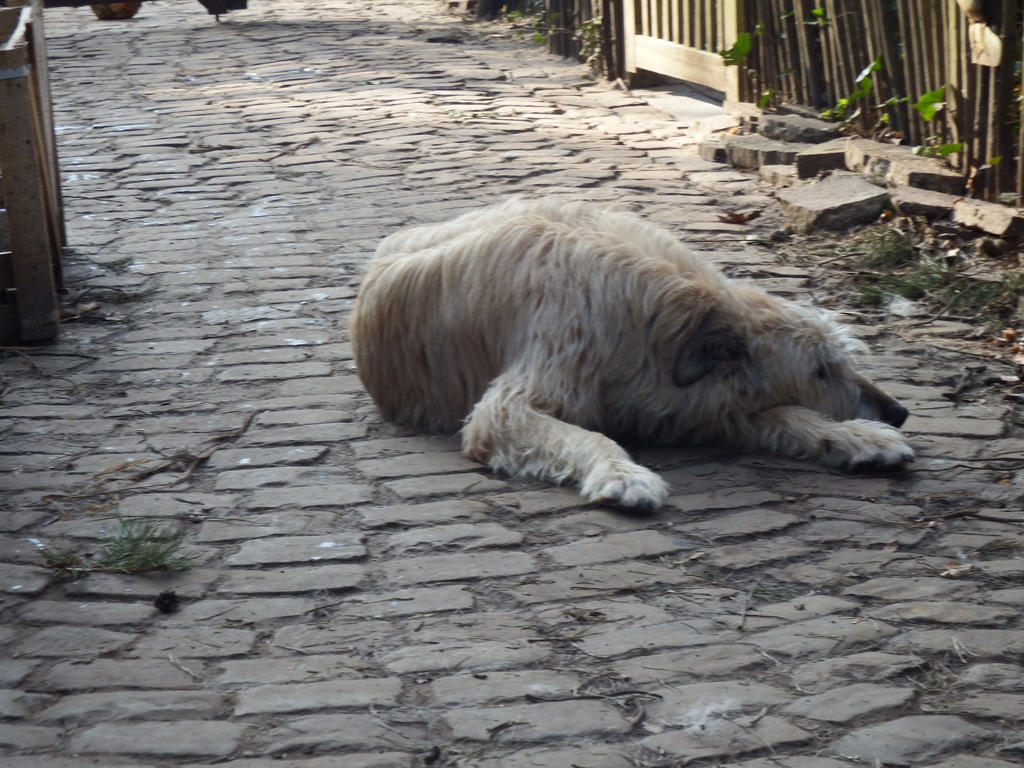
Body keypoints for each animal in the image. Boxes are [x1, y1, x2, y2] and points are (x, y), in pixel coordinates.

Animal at [352, 198, 913, 512]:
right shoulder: (519, 398)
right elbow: (585, 435)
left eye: (841, 363)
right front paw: (622, 475)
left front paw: (856, 436)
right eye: (821, 370)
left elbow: (787, 416)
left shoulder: (697, 404)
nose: (899, 412)